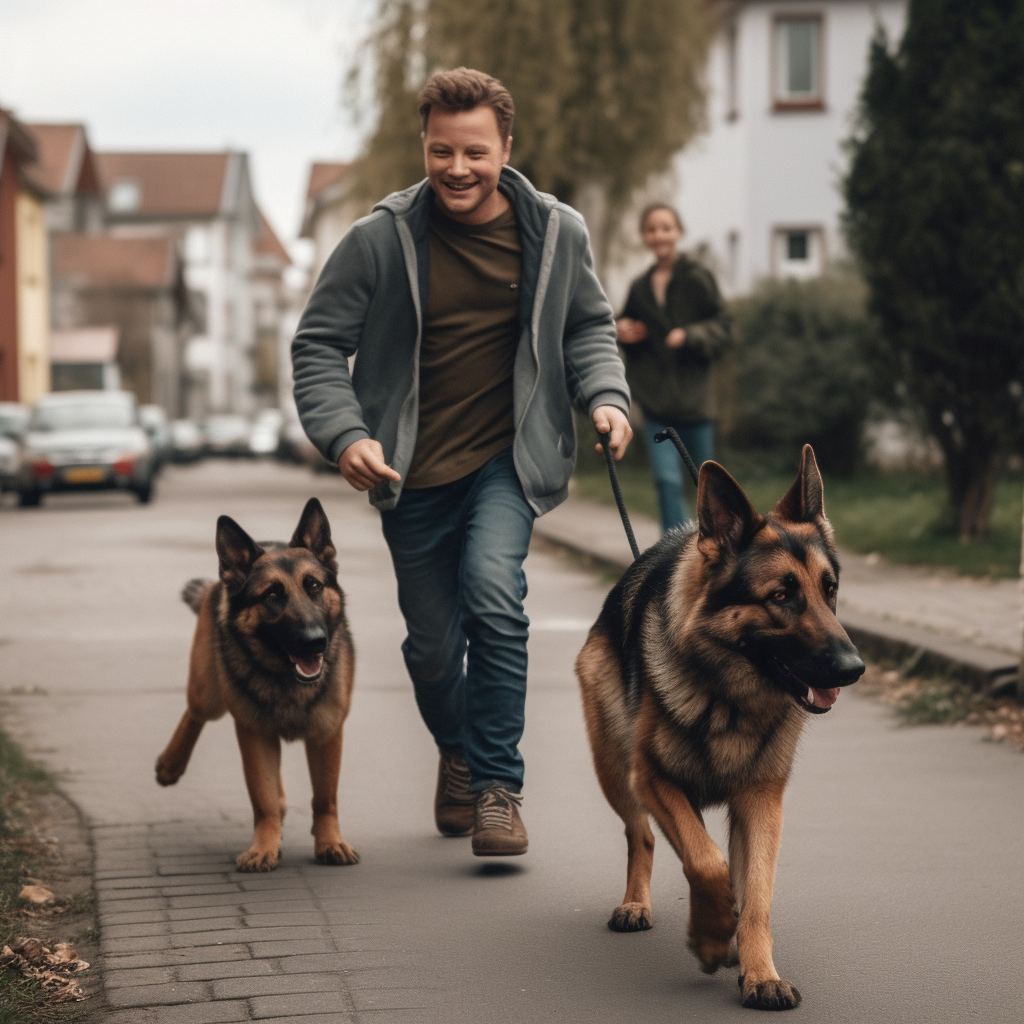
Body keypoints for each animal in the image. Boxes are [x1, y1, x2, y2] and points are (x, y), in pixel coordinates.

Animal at [153, 495, 358, 872]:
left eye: (314, 586)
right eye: (272, 595)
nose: (315, 642)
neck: (285, 677)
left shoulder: (326, 734)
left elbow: (325, 798)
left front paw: (330, 842)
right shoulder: (254, 735)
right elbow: (262, 798)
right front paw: (264, 846)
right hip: (208, 692)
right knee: (195, 713)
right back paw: (171, 764)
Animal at [577, 446, 864, 1007]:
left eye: (830, 591)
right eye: (781, 597)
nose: (853, 668)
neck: (729, 698)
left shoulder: (761, 801)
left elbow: (755, 894)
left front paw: (760, 972)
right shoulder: (655, 780)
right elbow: (706, 862)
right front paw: (711, 938)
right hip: (614, 770)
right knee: (640, 836)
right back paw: (638, 904)